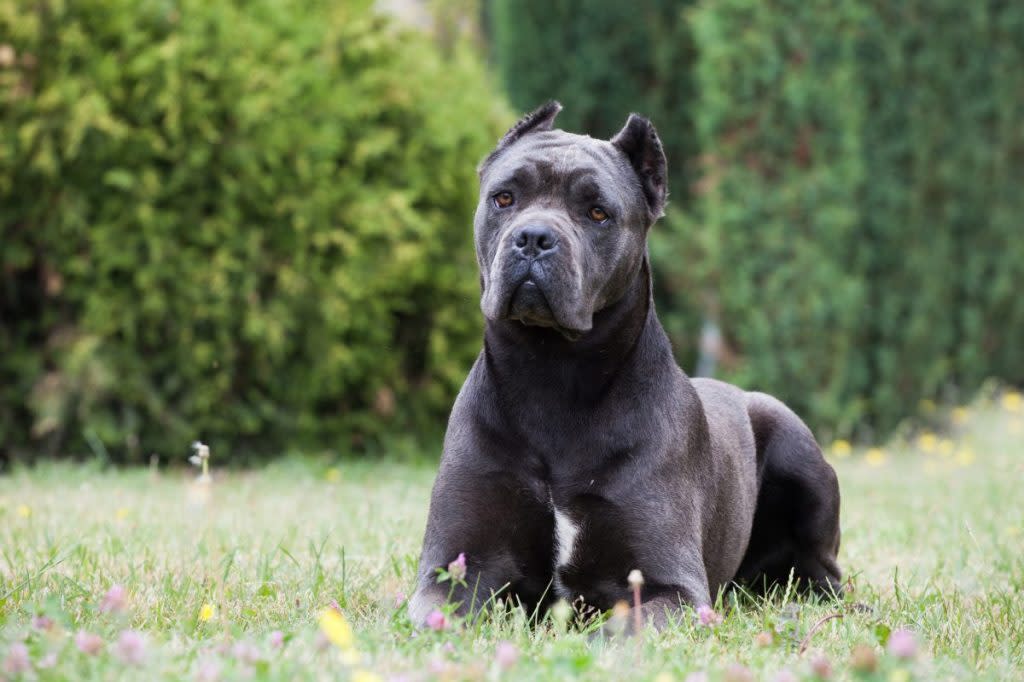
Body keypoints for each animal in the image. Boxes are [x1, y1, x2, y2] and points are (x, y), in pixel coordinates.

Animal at [405, 100, 839, 626]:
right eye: (504, 198)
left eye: (597, 212)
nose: (533, 237)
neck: (551, 372)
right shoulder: (453, 569)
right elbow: (436, 614)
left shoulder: (671, 587)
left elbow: (615, 631)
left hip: (795, 444)